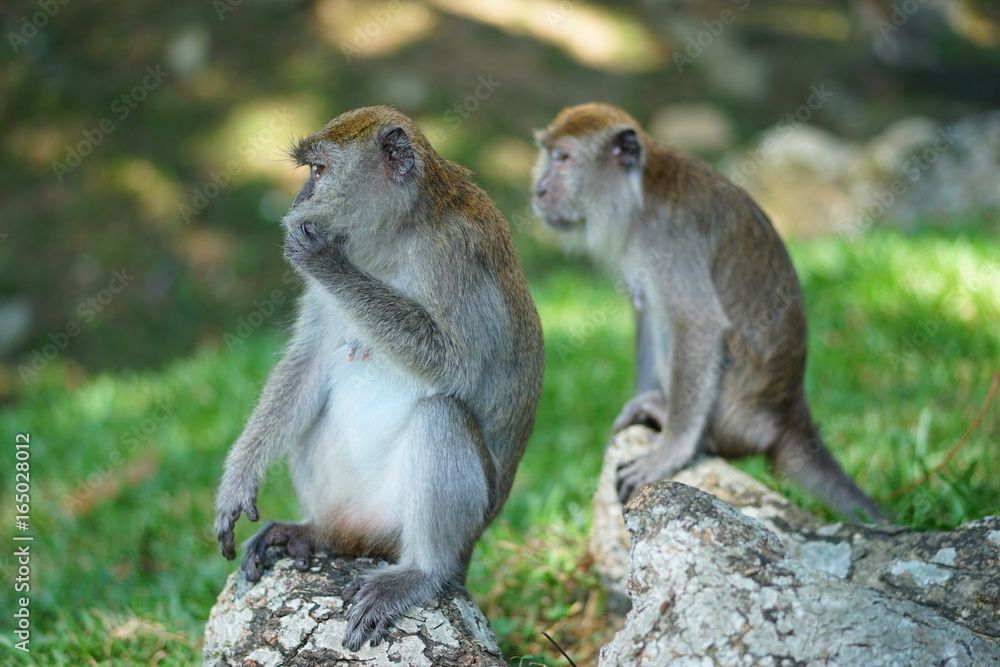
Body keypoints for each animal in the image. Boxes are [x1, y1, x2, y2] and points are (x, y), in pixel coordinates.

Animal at [215, 107, 544, 648]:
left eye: (319, 171)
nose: (296, 202)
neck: (399, 234)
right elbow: (309, 365)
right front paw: (238, 479)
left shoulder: (454, 254)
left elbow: (456, 365)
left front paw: (325, 261)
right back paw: (317, 532)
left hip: (421, 528)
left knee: (441, 415)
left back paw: (422, 573)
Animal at [532, 103, 884, 520]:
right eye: (549, 156)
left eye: (563, 158)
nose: (538, 190)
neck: (640, 194)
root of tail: (789, 418)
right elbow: (644, 310)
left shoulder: (670, 237)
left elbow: (697, 323)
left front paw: (672, 448)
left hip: (734, 417)